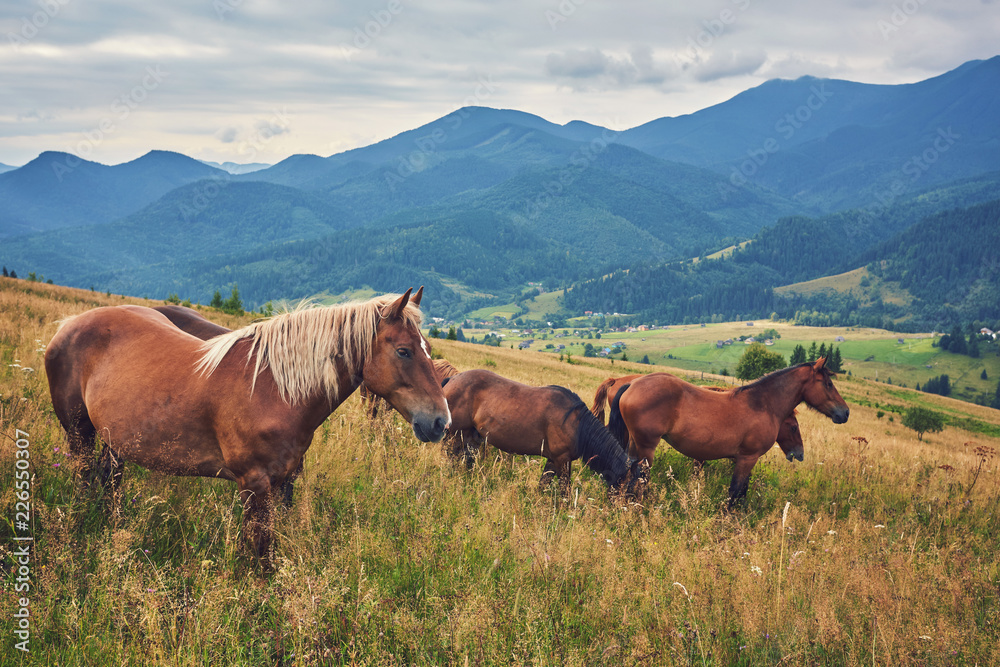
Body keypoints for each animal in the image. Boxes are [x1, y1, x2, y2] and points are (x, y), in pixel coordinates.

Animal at [45, 288, 450, 566]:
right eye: (403, 351)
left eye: (428, 349)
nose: (440, 421)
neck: (275, 390)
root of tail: (70, 325)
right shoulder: (254, 484)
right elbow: (260, 551)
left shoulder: (283, 482)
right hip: (79, 434)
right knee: (84, 479)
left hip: (115, 441)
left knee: (108, 481)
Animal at [441, 369, 647, 495]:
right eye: (634, 490)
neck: (577, 425)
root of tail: (452, 380)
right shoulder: (562, 461)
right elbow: (565, 490)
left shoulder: (554, 460)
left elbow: (543, 484)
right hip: (456, 433)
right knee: (451, 455)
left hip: (470, 435)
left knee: (464, 457)